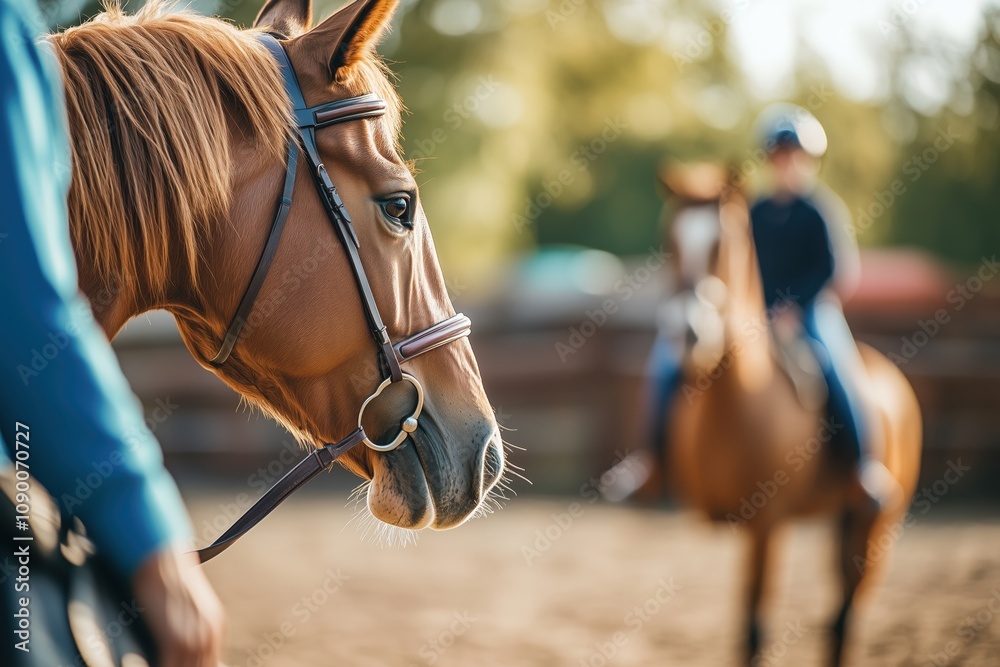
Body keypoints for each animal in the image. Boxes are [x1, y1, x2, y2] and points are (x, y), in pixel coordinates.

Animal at [649, 164, 922, 666]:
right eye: (669, 240)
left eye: (722, 243)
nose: (687, 333)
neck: (737, 402)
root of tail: (890, 375)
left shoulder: (766, 526)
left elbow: (754, 629)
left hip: (875, 524)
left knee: (846, 612)